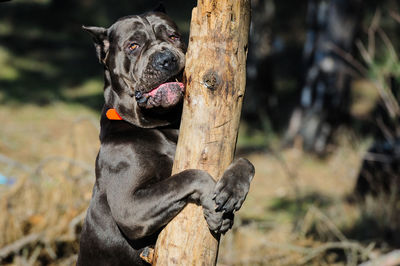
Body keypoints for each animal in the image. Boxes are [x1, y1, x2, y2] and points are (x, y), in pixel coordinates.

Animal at [76, 8, 255, 266]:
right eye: (133, 45)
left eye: (173, 36)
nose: (166, 59)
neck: (165, 126)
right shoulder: (130, 207)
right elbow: (189, 176)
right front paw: (213, 206)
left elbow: (246, 161)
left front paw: (233, 189)